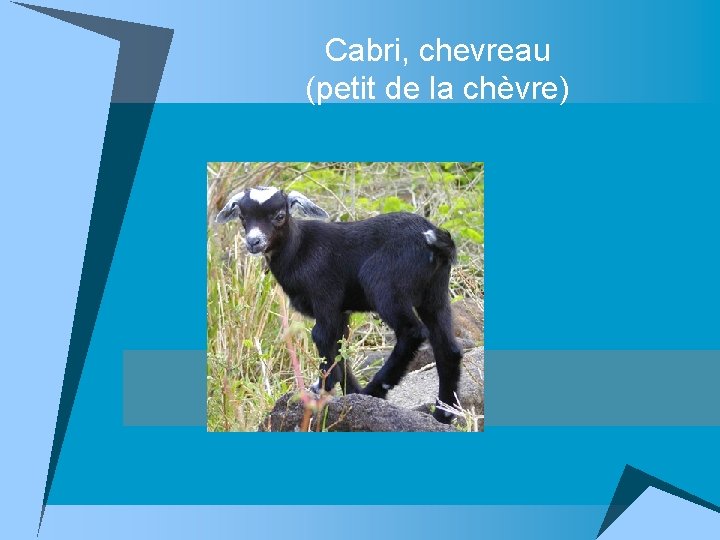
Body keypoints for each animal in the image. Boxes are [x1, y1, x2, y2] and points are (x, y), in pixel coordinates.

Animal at [216, 186, 463, 424]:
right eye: (242, 216)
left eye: (279, 216)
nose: (253, 242)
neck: (299, 248)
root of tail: (437, 239)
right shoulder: (341, 310)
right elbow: (339, 346)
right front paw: (346, 392)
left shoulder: (325, 297)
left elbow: (321, 337)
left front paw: (328, 389)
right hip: (434, 294)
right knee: (448, 350)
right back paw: (443, 414)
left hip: (385, 286)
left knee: (412, 332)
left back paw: (373, 390)